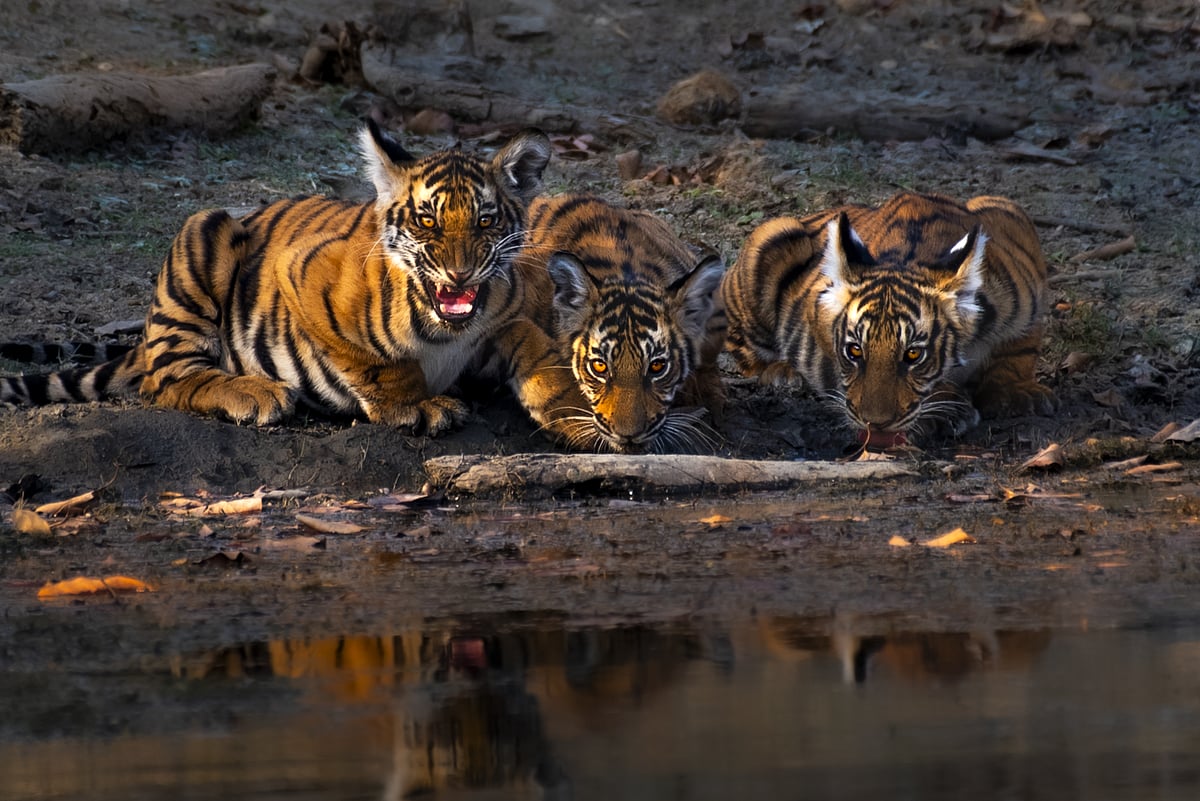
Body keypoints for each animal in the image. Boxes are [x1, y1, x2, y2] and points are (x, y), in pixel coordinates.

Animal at [0, 121, 552, 435]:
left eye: (486, 220)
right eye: (427, 221)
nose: (460, 273)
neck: (449, 330)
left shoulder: (506, 313)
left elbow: (531, 337)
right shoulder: (301, 274)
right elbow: (380, 363)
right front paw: (414, 406)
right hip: (205, 230)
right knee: (166, 380)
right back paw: (253, 394)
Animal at [722, 191, 1057, 449]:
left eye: (913, 355)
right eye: (854, 351)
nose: (876, 424)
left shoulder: (1013, 224)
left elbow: (1020, 346)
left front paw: (1016, 392)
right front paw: (945, 411)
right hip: (775, 235)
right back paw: (783, 373)